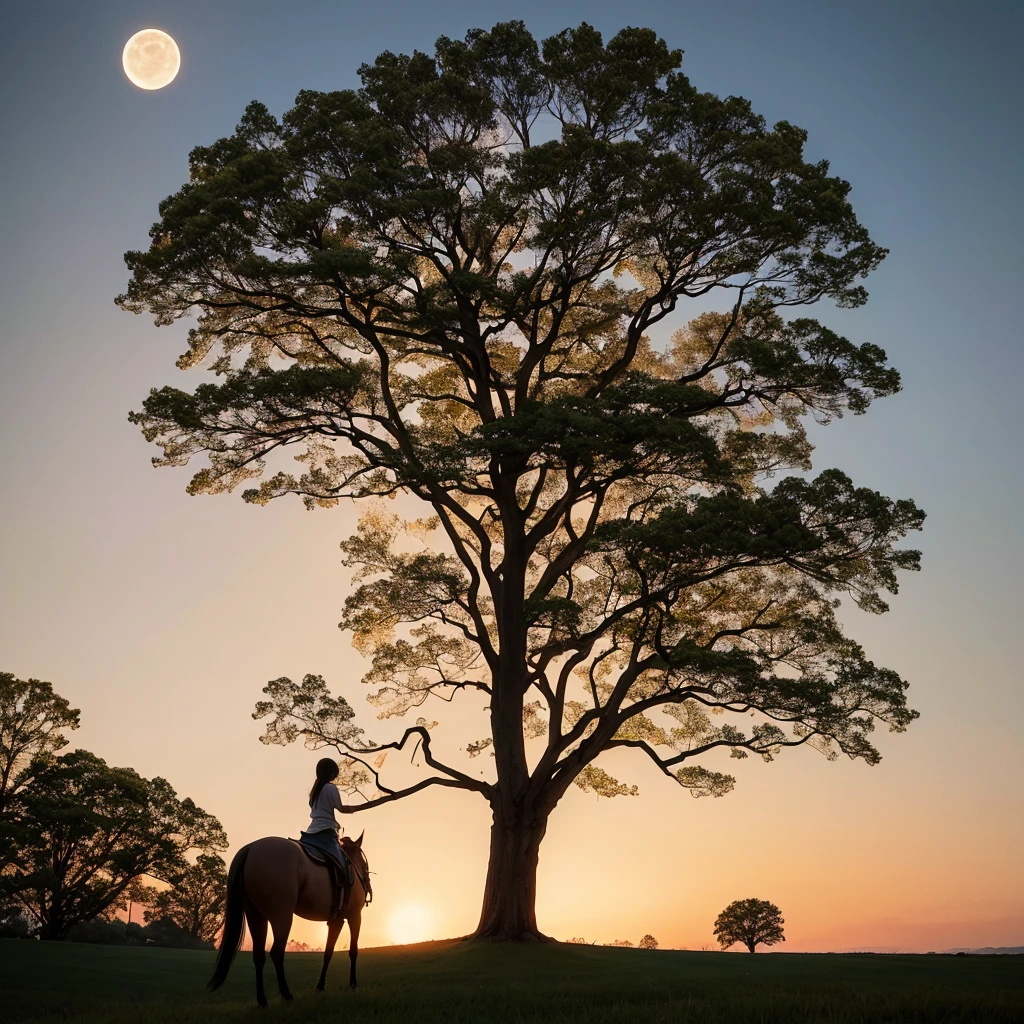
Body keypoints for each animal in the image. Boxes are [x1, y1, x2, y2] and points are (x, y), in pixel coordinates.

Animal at [206, 831, 368, 1007]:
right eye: (364, 862)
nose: (367, 884)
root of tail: (251, 848)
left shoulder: (335, 921)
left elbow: (328, 952)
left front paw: (320, 986)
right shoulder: (354, 916)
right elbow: (353, 951)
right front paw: (353, 984)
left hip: (255, 915)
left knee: (259, 955)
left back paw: (262, 1000)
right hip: (282, 917)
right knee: (277, 953)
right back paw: (286, 994)